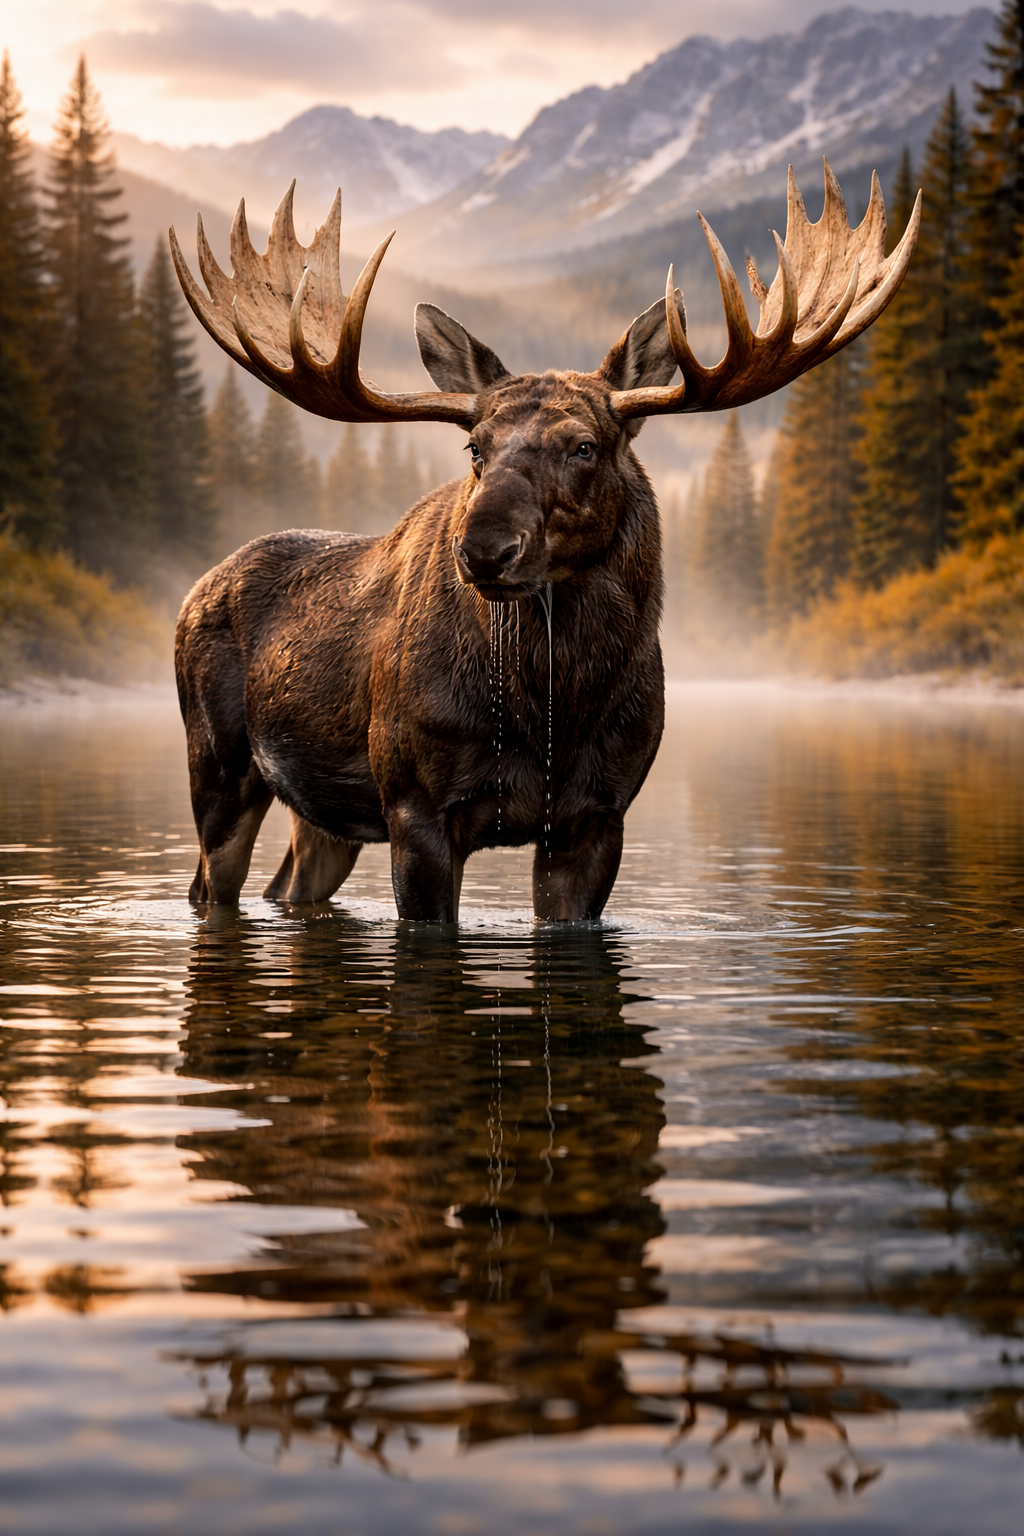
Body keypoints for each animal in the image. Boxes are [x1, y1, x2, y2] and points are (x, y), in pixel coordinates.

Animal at [170, 160, 919, 922]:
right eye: (475, 446)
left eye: (584, 446)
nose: (483, 550)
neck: (554, 703)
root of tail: (195, 589)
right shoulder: (415, 805)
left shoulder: (598, 814)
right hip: (219, 762)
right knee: (209, 885)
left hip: (325, 814)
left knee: (287, 885)